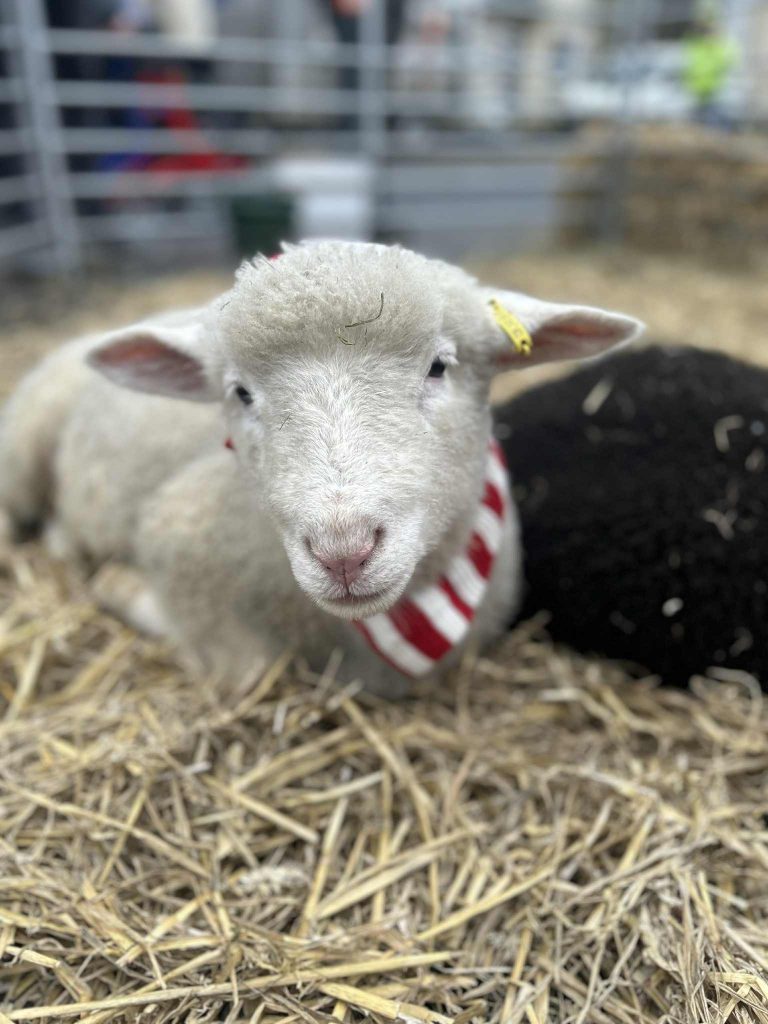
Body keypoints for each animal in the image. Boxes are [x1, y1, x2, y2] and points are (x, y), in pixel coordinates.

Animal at [0, 241, 642, 690]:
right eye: (240, 393)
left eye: (439, 366)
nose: (344, 551)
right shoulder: (177, 533)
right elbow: (247, 669)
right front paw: (119, 584)